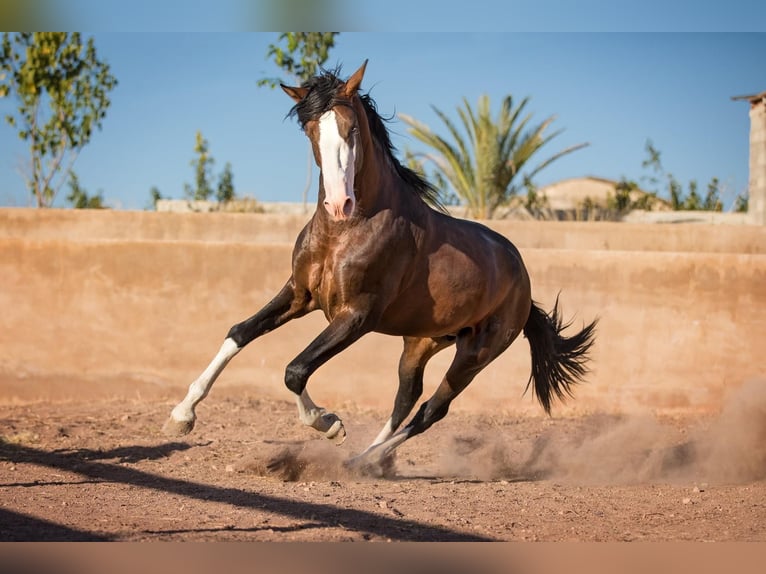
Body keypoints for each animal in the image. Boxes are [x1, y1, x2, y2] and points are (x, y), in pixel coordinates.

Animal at [165, 59, 600, 472]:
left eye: (352, 128)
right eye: (311, 131)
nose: (339, 203)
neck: (344, 232)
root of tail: (522, 278)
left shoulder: (357, 314)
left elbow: (295, 370)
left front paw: (330, 425)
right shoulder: (299, 293)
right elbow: (239, 334)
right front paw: (181, 416)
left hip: (476, 354)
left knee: (431, 410)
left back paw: (364, 461)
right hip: (421, 343)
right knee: (406, 399)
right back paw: (367, 459)